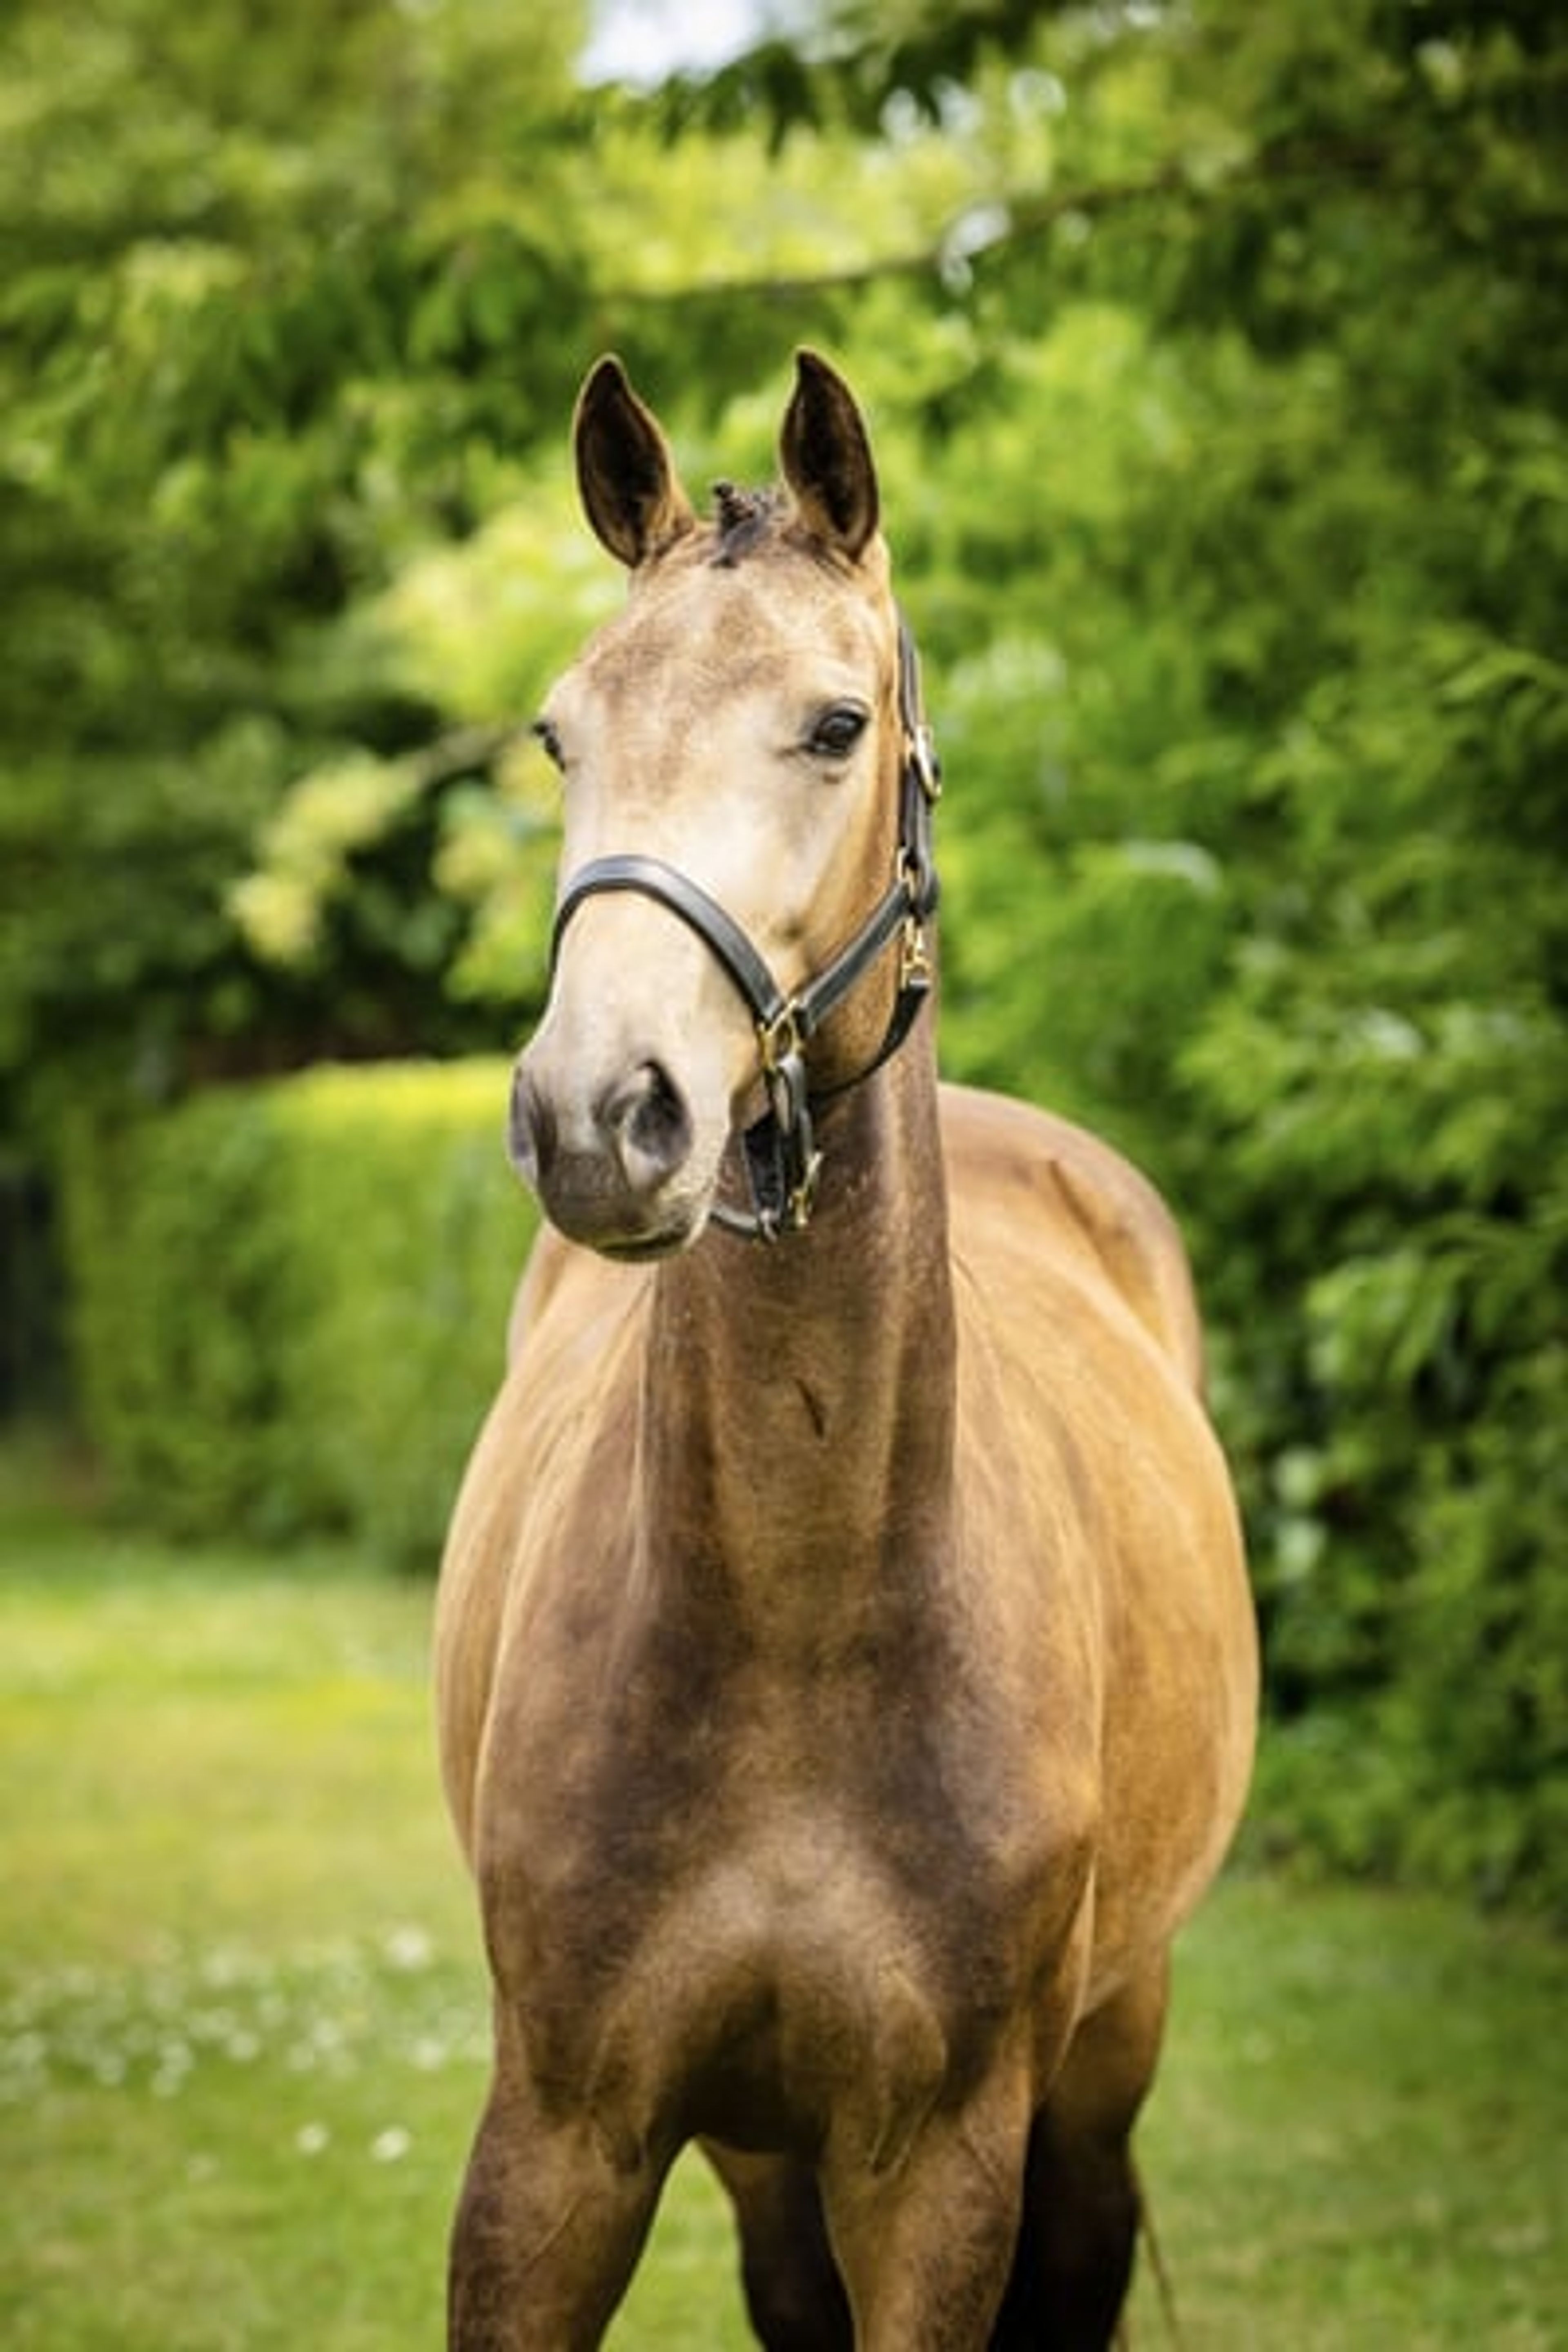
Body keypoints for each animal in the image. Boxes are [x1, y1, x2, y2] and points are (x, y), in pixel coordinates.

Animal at [434, 349, 1258, 2350]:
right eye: (561, 735)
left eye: (831, 724)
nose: (601, 1116)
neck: (800, 1616)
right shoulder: (560, 2140)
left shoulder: (940, 2164)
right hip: (757, 2146)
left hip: (1100, 2070)